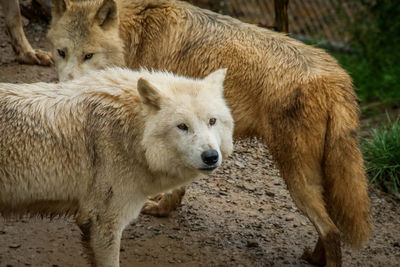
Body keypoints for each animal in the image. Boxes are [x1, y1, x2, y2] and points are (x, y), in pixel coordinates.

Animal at [47, 0, 372, 266]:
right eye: (61, 52)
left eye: (89, 55)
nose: (64, 86)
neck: (137, 34)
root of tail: (337, 78)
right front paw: (165, 209)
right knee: (332, 227)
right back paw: (314, 258)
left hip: (296, 178)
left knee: (331, 231)